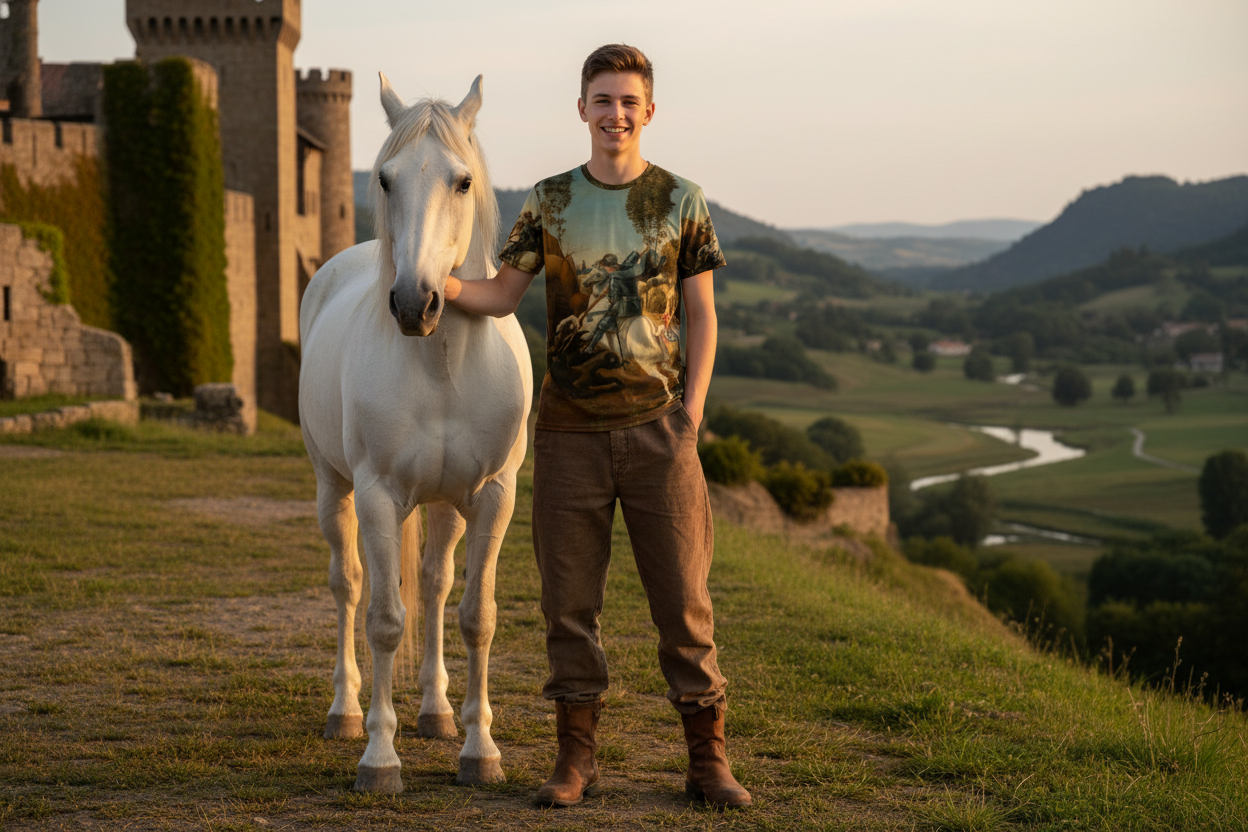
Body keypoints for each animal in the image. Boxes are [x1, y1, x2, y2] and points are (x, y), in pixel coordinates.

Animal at [298, 73, 533, 793]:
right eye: (384, 178)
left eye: (462, 180)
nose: (413, 303)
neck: (442, 365)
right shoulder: (376, 496)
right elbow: (382, 621)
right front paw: (379, 757)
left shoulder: (493, 496)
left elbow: (475, 617)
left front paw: (480, 750)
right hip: (333, 488)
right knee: (348, 584)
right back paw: (345, 711)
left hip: (446, 505)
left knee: (432, 585)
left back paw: (435, 712)